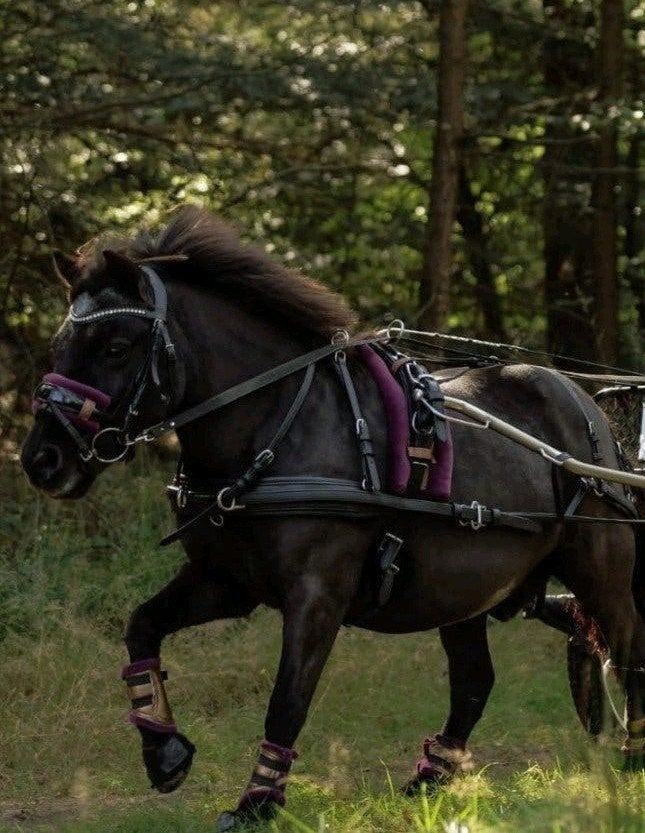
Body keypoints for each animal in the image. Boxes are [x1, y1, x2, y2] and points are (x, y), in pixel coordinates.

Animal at [21, 206, 645, 830]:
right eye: (59, 343)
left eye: (116, 346)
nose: (40, 459)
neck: (276, 427)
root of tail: (584, 406)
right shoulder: (227, 582)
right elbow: (141, 626)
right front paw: (165, 751)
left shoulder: (318, 593)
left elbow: (287, 698)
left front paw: (257, 801)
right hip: (464, 588)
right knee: (478, 679)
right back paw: (431, 776)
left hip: (599, 567)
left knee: (627, 645)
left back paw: (632, 753)